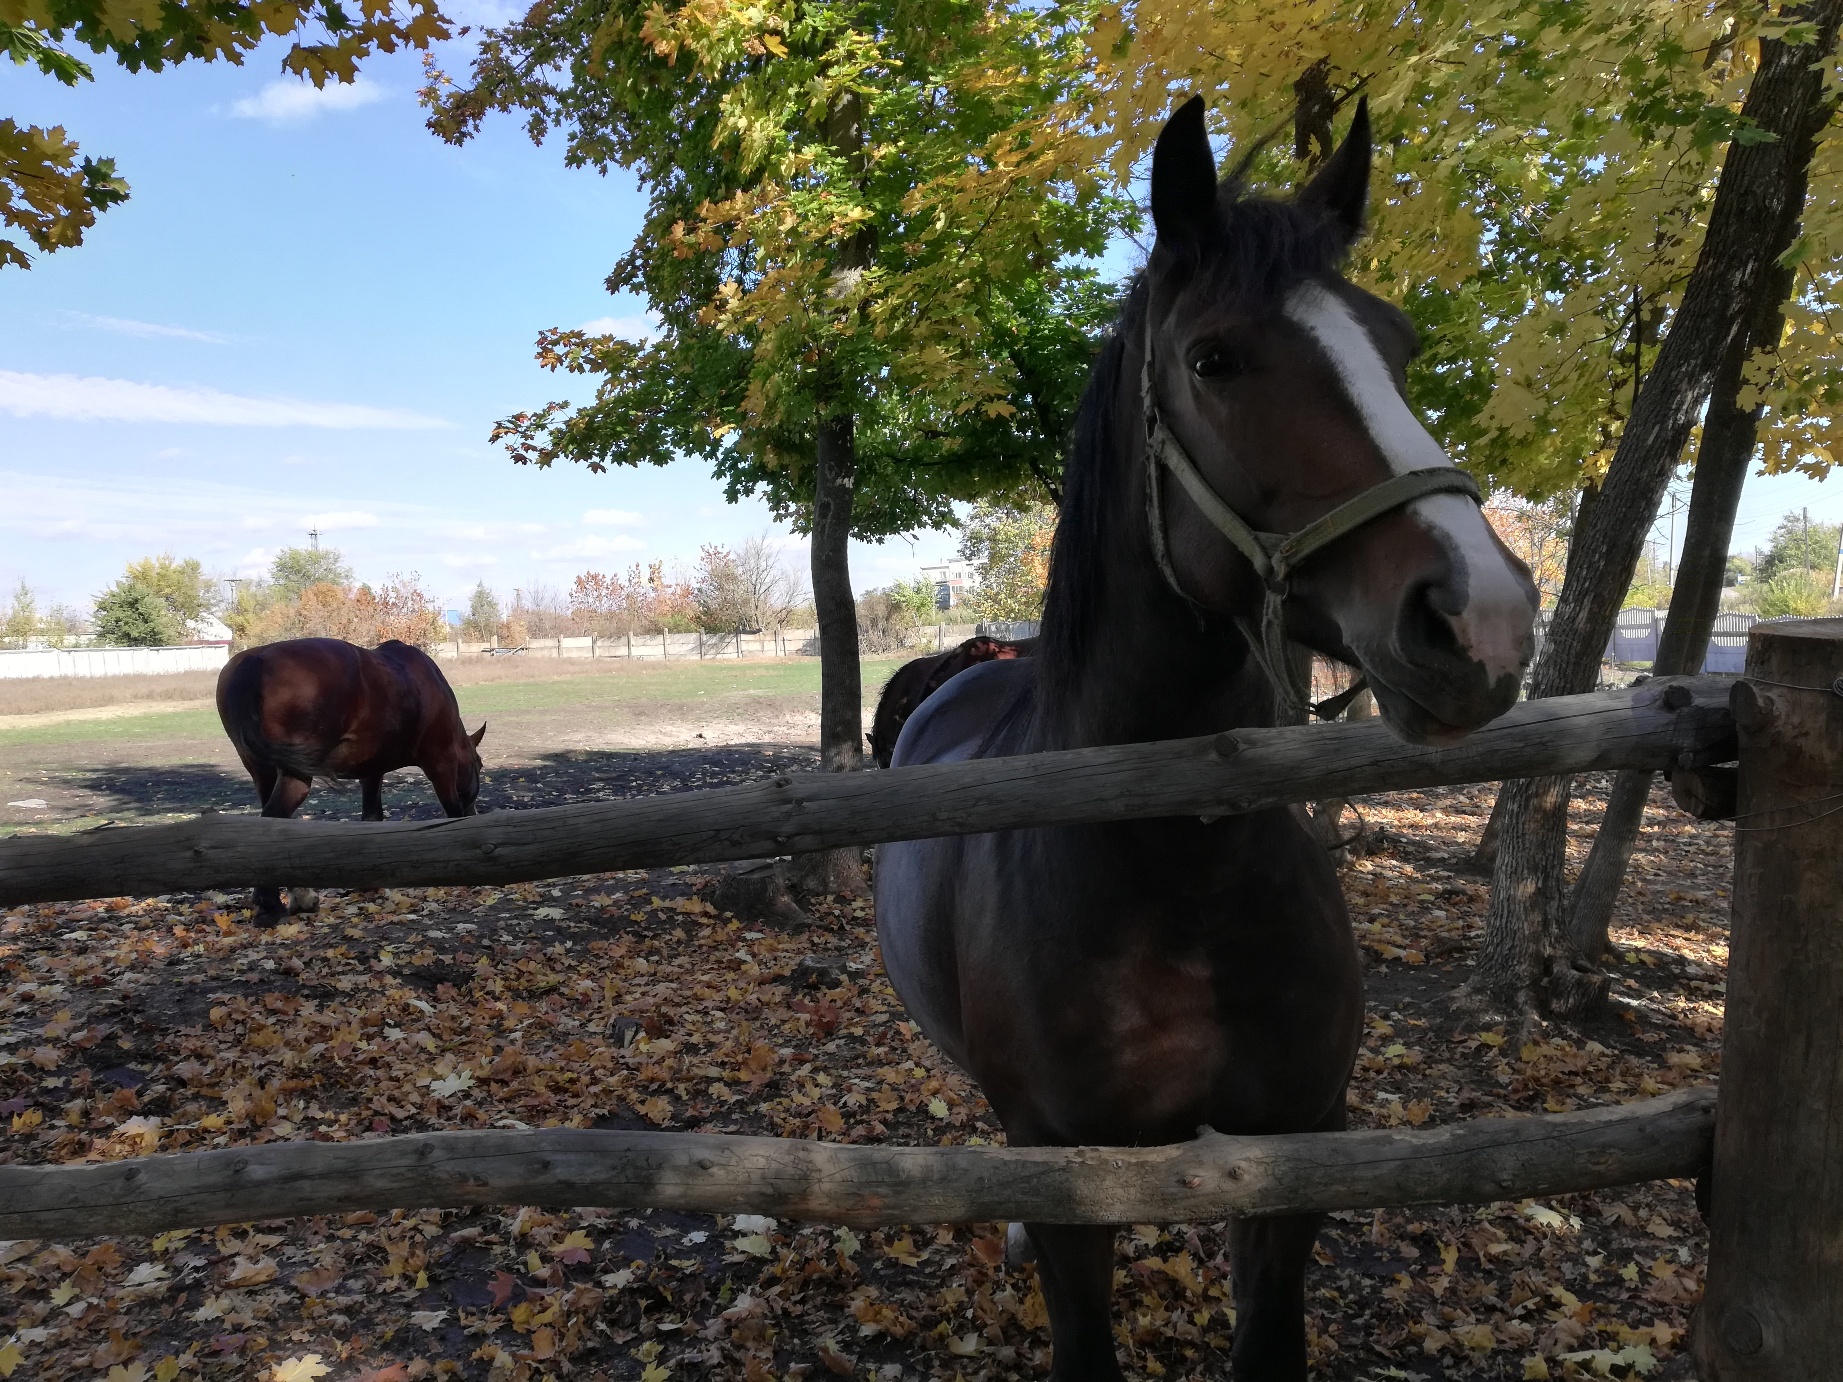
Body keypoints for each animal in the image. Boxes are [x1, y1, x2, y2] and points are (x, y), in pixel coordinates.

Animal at [216, 637, 486, 921]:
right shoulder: (440, 763)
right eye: (479, 764)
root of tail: (254, 661)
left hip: (262, 771)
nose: (476, 813)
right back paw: (272, 904)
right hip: (294, 775)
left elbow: (371, 818)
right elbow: (452, 810)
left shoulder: (372, 771)